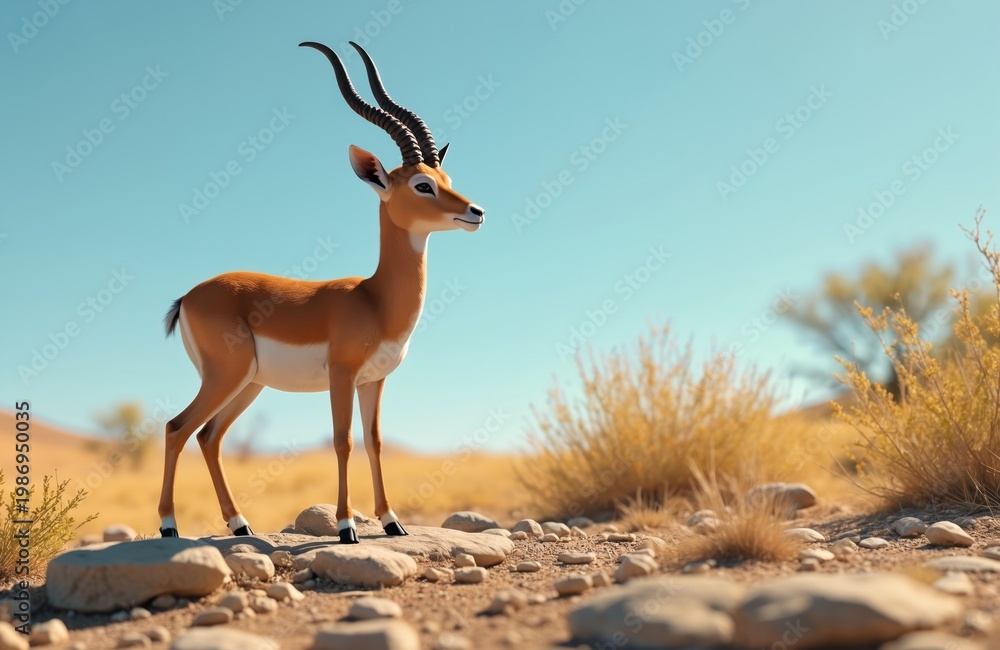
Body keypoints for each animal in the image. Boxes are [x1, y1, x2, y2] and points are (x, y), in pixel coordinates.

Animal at [158, 41, 485, 544]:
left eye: (446, 180)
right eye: (422, 185)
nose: (475, 212)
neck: (375, 299)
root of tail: (188, 296)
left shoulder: (374, 380)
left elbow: (375, 442)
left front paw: (392, 523)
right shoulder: (342, 374)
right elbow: (342, 441)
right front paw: (347, 527)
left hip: (249, 383)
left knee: (209, 437)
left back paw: (240, 525)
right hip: (225, 376)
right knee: (177, 428)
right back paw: (169, 528)